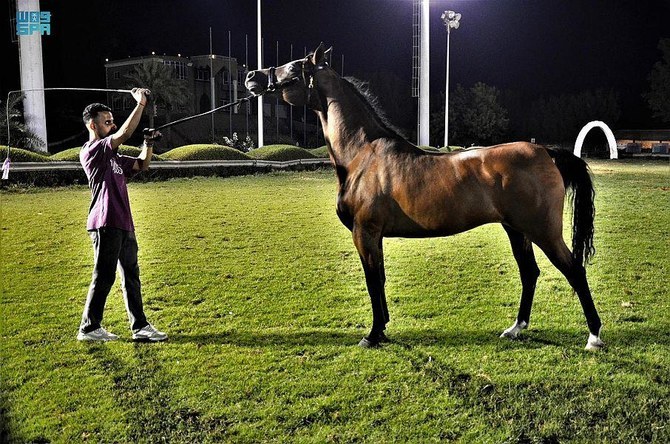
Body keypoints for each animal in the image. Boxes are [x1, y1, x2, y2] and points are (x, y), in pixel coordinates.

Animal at [247, 43, 608, 352]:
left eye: (294, 67)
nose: (253, 76)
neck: (362, 154)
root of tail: (546, 151)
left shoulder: (365, 232)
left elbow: (373, 279)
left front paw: (373, 335)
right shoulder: (373, 235)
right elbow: (379, 278)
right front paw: (382, 329)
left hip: (542, 231)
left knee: (574, 271)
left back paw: (593, 337)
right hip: (516, 230)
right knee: (529, 273)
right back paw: (515, 329)